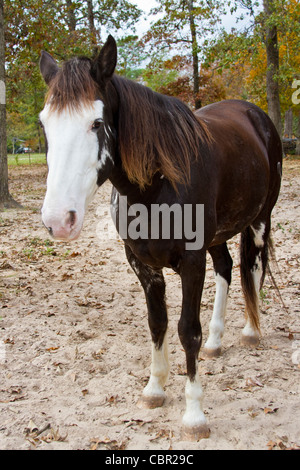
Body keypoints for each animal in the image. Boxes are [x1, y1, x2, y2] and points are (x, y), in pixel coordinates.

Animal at [38, 35, 282, 440]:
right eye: (45, 124)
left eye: (97, 122)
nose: (59, 220)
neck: (158, 184)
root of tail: (256, 115)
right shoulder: (142, 265)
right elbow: (158, 323)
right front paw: (154, 389)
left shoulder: (192, 263)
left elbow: (187, 330)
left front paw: (194, 414)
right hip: (218, 236)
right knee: (227, 268)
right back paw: (217, 342)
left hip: (261, 220)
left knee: (254, 267)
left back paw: (250, 331)